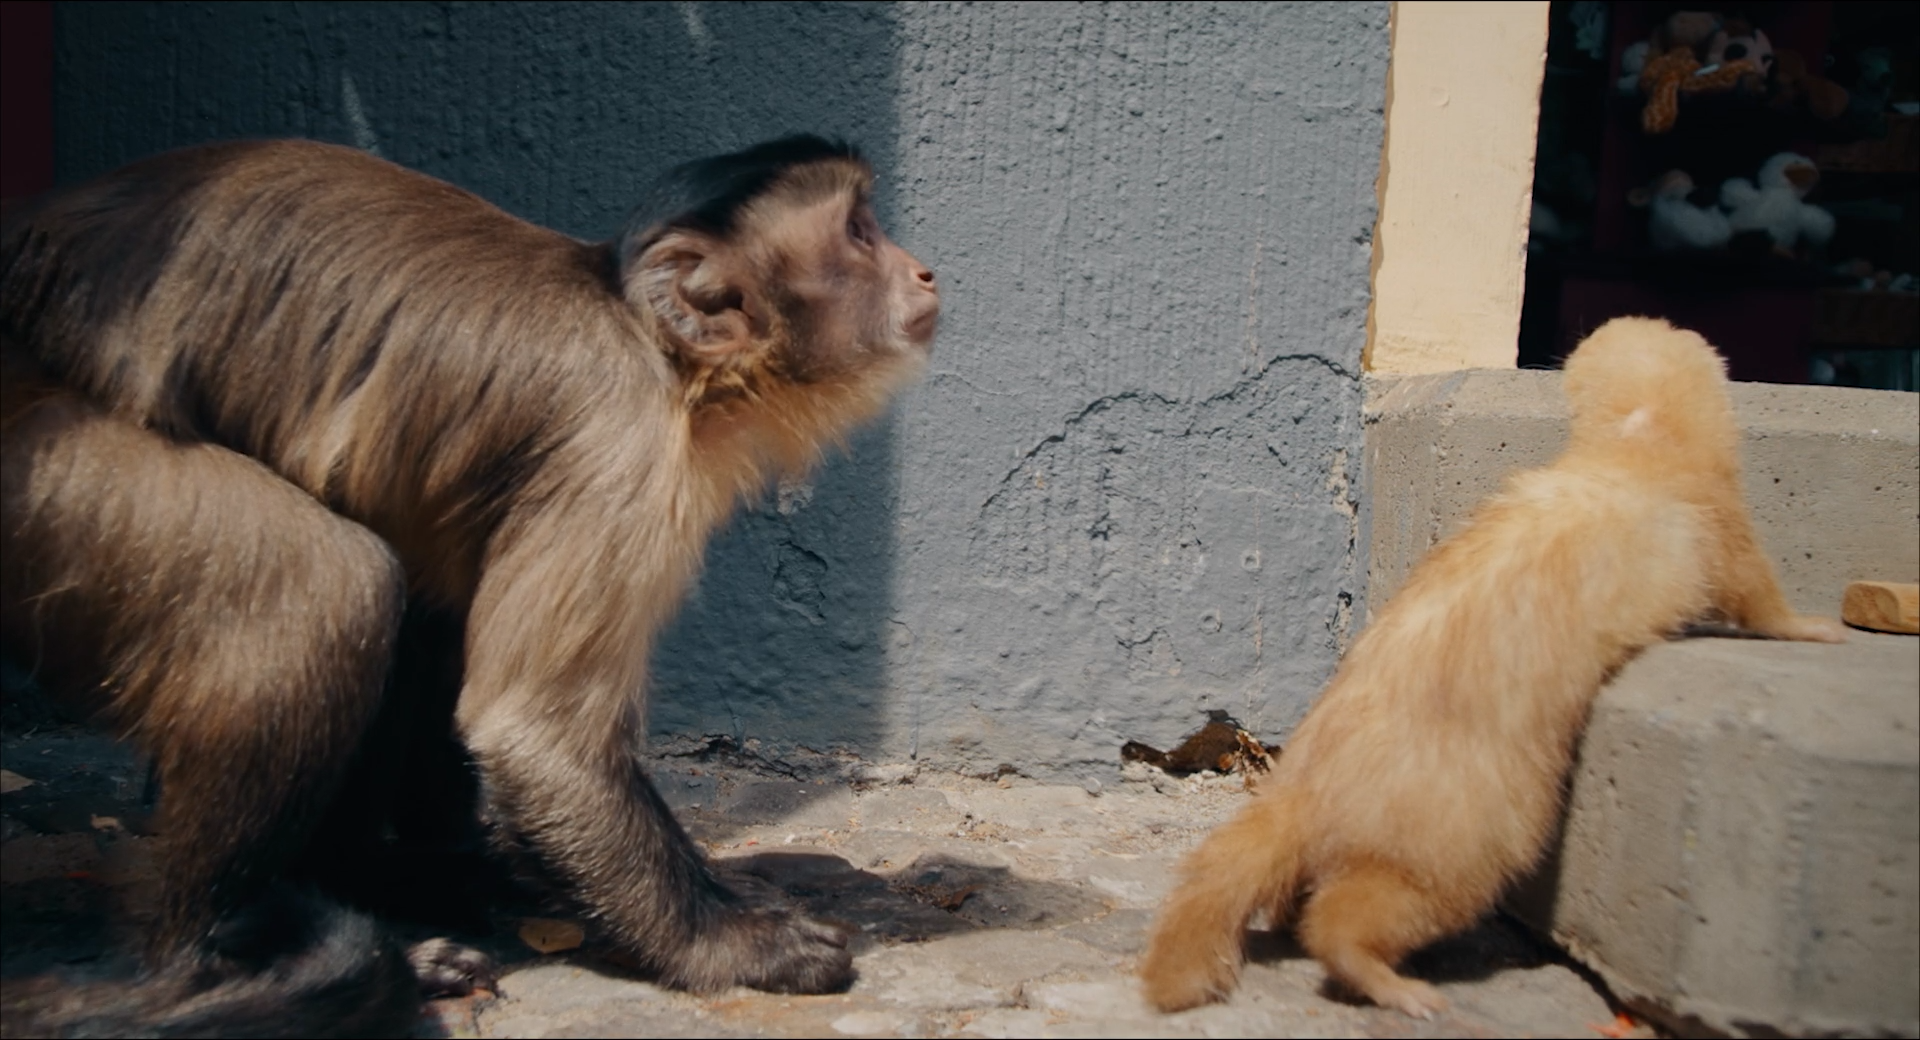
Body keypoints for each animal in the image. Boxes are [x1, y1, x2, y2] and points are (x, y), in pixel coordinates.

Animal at [0, 133, 938, 1037]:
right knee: (330, 586)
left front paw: (474, 870)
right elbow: (532, 731)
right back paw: (222, 965)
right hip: (52, 471)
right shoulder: (617, 443)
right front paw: (724, 940)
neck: (658, 350)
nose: (923, 269)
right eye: (860, 234)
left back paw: (378, 878)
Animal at [1137, 317, 1846, 1019]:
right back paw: (1402, 989)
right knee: (1342, 924)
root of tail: (1302, 790)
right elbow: (1760, 600)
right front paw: (1818, 627)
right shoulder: (1723, 533)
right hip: (1465, 854)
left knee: (1293, 896)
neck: (1632, 446)